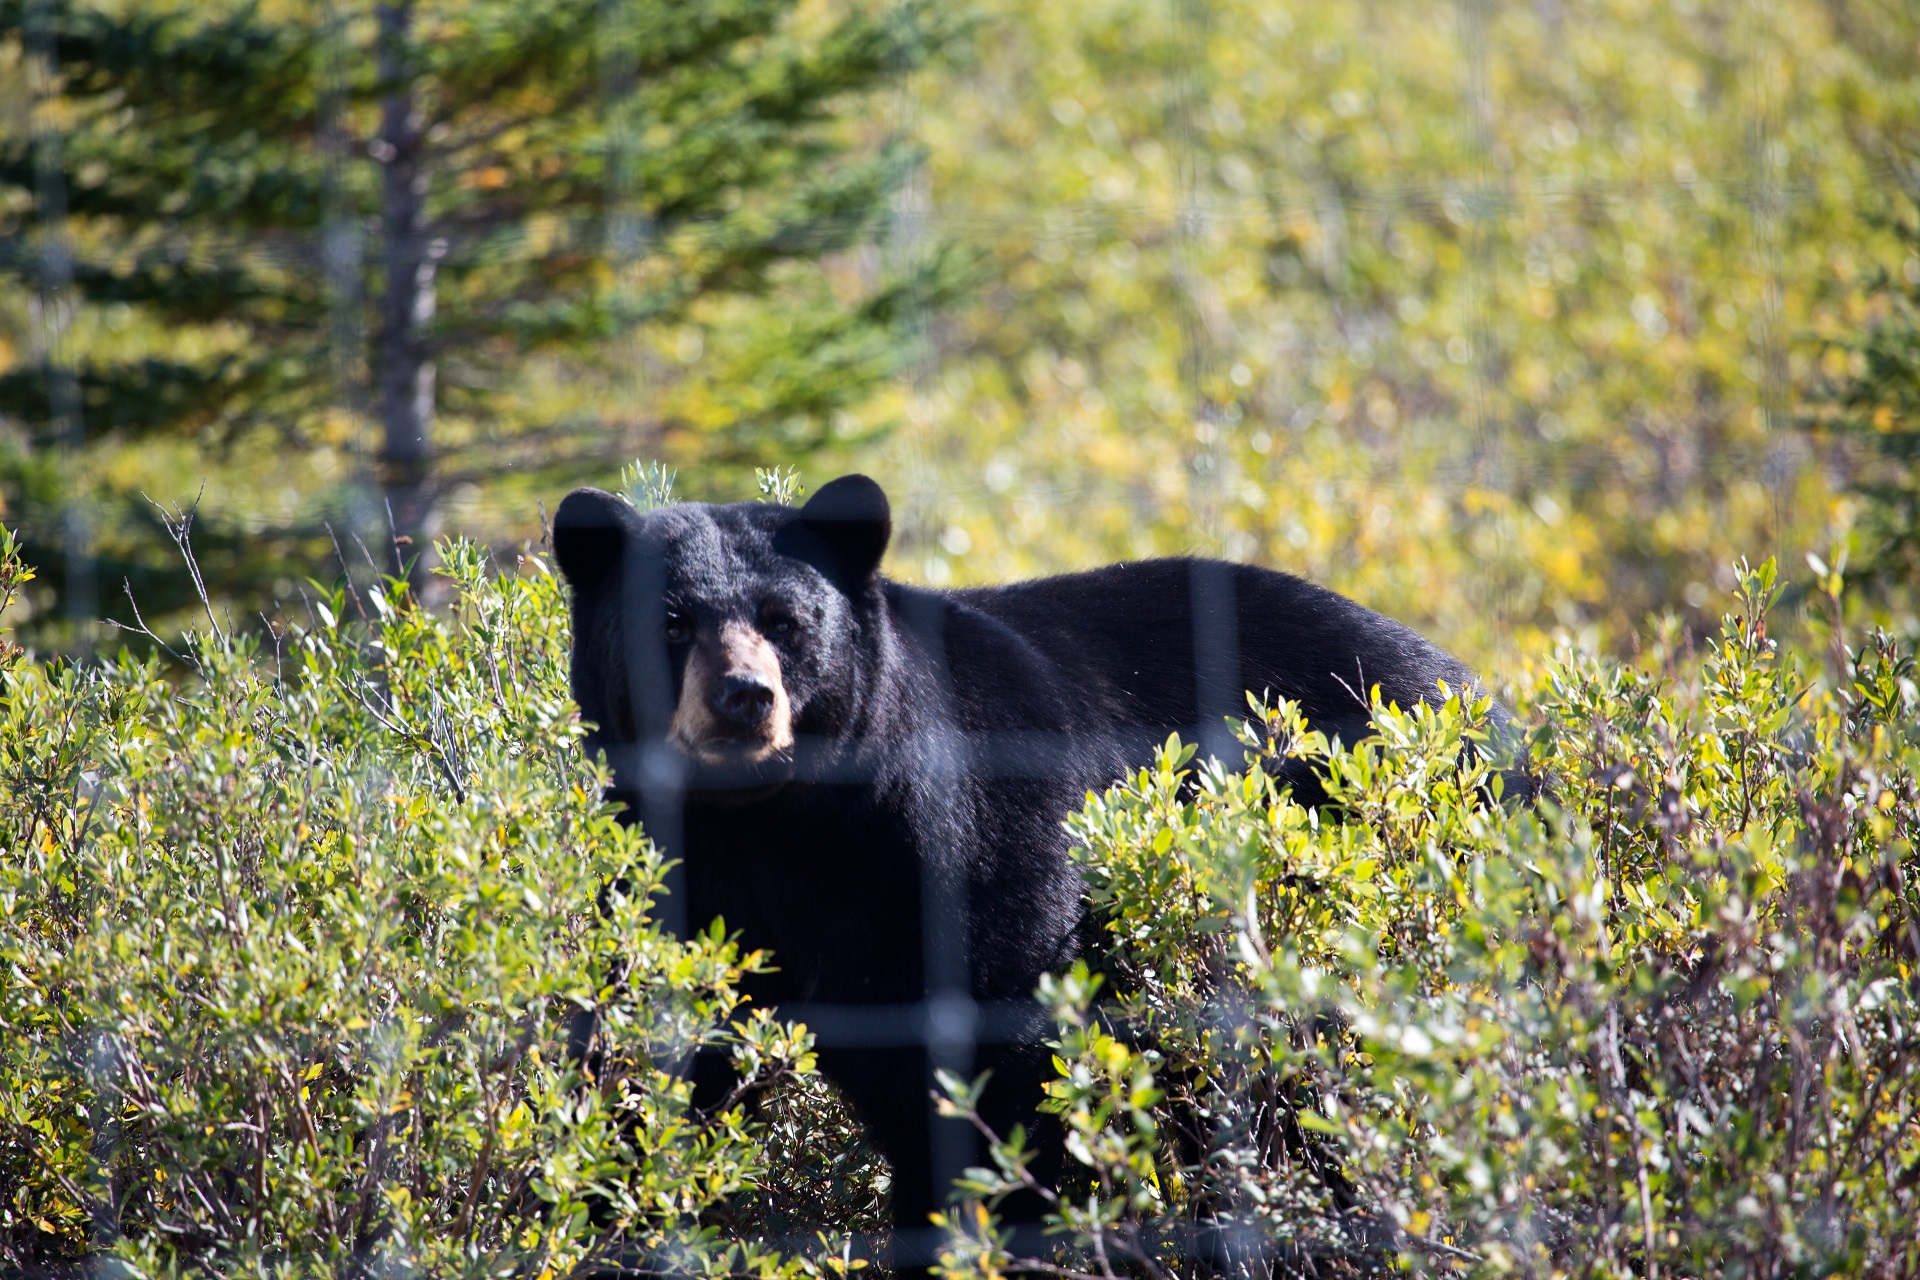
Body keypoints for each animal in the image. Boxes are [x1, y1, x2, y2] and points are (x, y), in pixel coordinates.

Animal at [551, 473, 1499, 1270]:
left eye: (786, 621)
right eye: (672, 623)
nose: (745, 699)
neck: (778, 824)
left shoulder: (964, 852)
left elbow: (994, 1075)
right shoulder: (673, 875)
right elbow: (645, 1058)